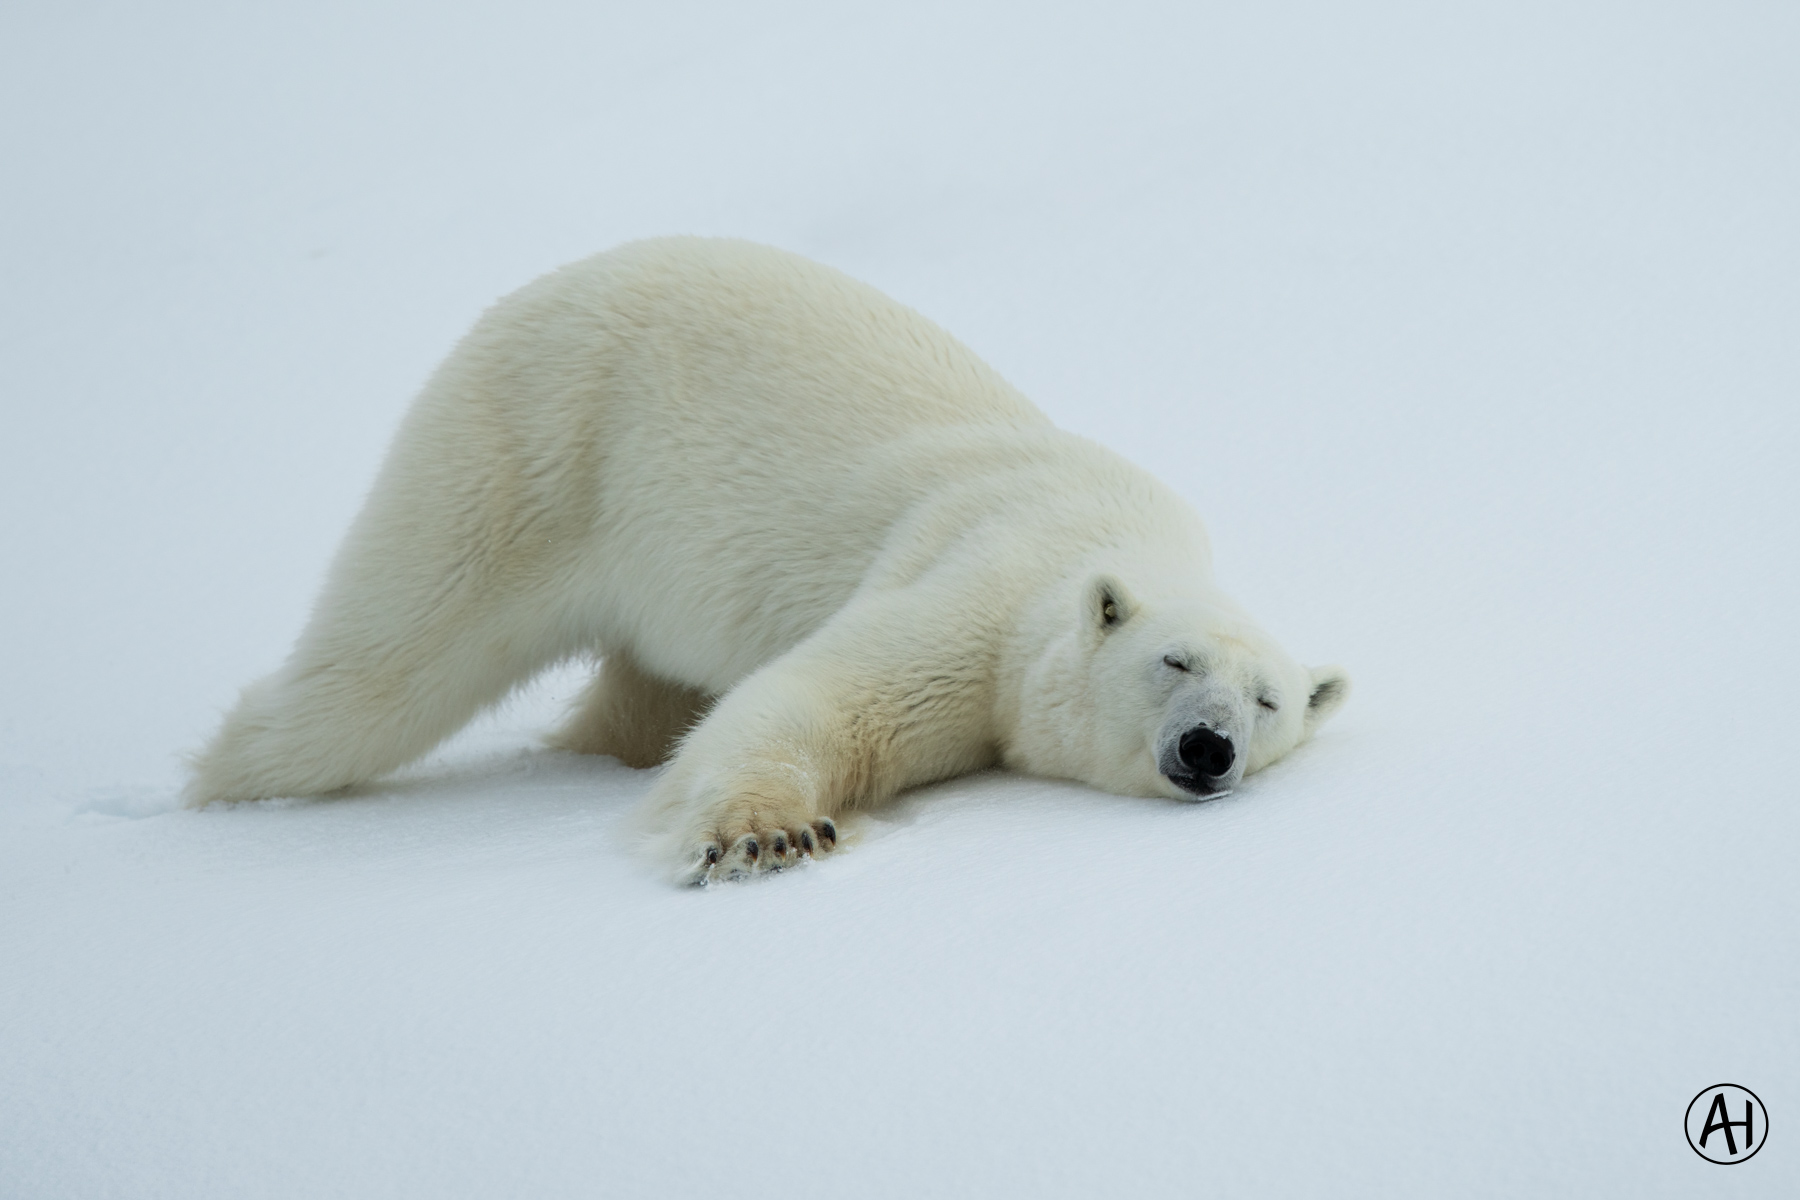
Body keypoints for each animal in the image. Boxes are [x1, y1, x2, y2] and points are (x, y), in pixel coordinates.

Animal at [185, 237, 1349, 883]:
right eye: (1174, 663)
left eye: (1268, 702)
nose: (1208, 748)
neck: (1109, 537)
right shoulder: (982, 590)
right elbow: (831, 697)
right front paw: (767, 837)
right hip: (526, 448)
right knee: (376, 672)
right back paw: (213, 790)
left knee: (635, 700)